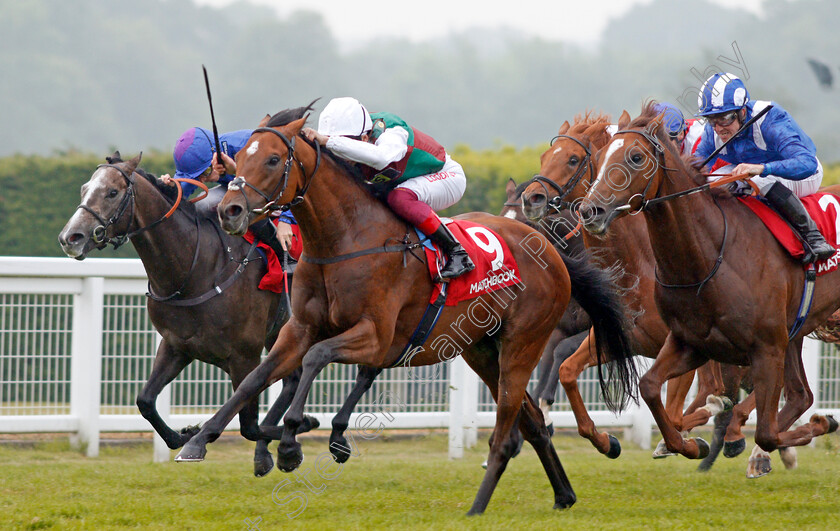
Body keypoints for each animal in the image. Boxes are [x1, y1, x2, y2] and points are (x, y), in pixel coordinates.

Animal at [176, 105, 636, 516]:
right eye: (240, 157)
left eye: (273, 159)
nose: (230, 211)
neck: (344, 239)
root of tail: (550, 251)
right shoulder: (300, 328)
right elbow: (254, 378)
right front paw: (198, 440)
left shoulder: (375, 336)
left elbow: (315, 357)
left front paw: (290, 442)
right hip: (482, 350)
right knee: (533, 421)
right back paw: (563, 495)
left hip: (523, 343)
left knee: (510, 426)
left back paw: (480, 506)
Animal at [516, 114, 724, 460]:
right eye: (545, 157)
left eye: (573, 159)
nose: (532, 198)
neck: (637, 268)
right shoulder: (615, 337)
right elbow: (566, 370)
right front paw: (605, 440)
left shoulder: (683, 346)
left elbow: (678, 411)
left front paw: (690, 438)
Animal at [580, 104, 836, 462]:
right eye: (600, 156)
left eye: (636, 157)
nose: (590, 211)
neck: (708, 258)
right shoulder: (690, 342)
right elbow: (649, 387)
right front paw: (688, 444)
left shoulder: (767, 348)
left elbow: (766, 432)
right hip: (795, 333)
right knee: (801, 396)